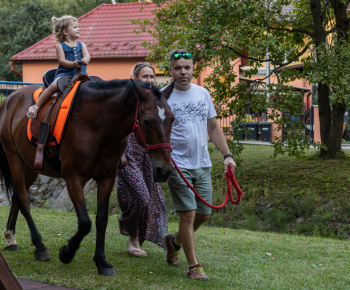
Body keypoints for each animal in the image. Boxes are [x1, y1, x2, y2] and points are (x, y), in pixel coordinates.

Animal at [0, 78, 175, 276]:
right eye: (146, 121)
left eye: (172, 119)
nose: (164, 170)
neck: (98, 126)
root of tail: (10, 99)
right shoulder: (73, 178)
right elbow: (85, 223)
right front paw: (67, 252)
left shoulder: (107, 178)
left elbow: (101, 219)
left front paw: (102, 261)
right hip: (14, 158)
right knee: (23, 199)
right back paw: (40, 246)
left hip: (30, 166)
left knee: (17, 197)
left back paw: (11, 239)